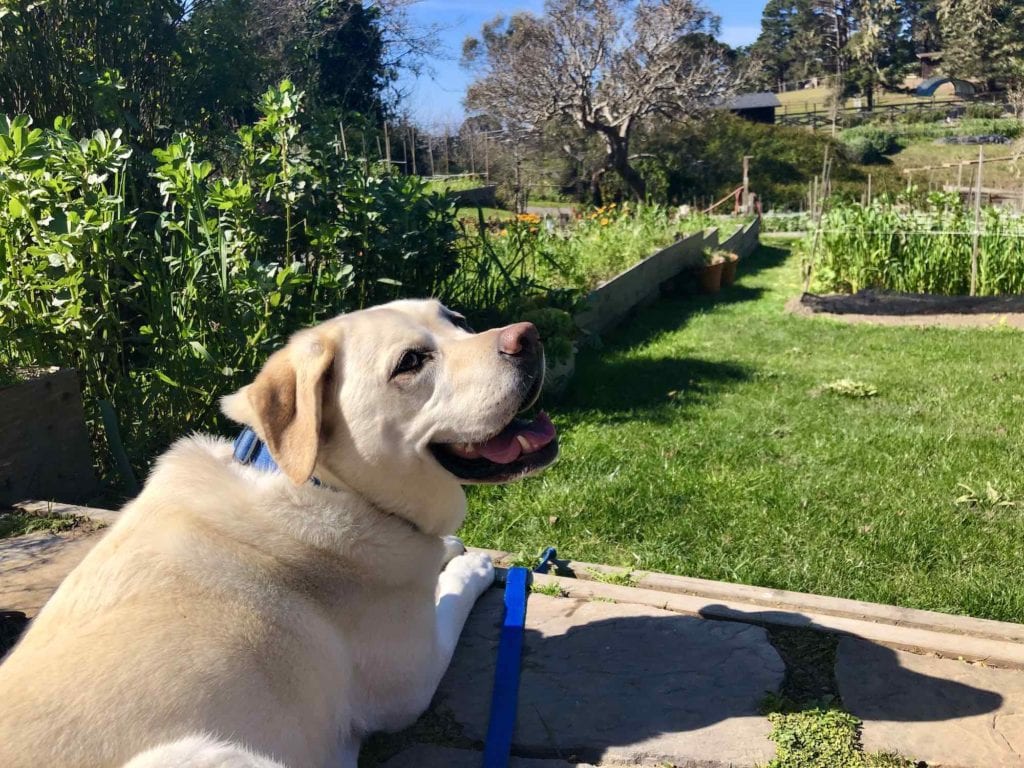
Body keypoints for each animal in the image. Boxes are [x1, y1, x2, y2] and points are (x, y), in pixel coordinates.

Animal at [0, 301, 557, 768]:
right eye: (411, 362)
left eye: (457, 320)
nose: (528, 336)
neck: (319, 482)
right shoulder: (412, 679)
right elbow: (451, 595)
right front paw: (467, 563)